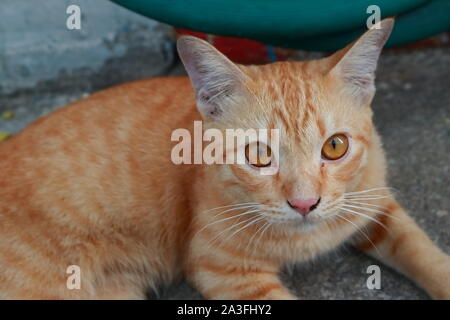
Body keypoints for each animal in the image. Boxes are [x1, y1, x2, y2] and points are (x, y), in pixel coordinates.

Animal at [0, 18, 448, 298]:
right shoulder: (224, 271)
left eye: (334, 147)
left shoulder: (376, 204)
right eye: (259, 154)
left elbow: (421, 249)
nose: (305, 204)